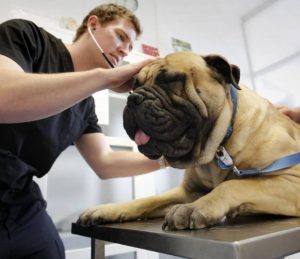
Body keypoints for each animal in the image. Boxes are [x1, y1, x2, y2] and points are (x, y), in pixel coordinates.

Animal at [78, 51, 300, 231]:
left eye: (170, 80)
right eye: (134, 86)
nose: (133, 99)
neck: (218, 148)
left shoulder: (292, 180)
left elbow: (232, 186)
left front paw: (195, 207)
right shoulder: (188, 191)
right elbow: (148, 200)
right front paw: (107, 209)